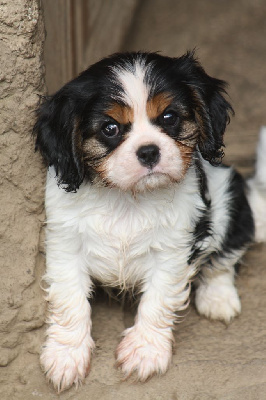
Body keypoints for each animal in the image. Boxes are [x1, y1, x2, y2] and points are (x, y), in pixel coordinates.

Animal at [33, 52, 266, 390]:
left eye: (169, 117)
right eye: (110, 128)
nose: (149, 151)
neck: (127, 199)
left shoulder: (173, 251)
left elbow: (158, 299)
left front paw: (145, 350)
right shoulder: (65, 244)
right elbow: (70, 300)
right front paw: (66, 355)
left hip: (230, 201)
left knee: (224, 258)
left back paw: (218, 297)